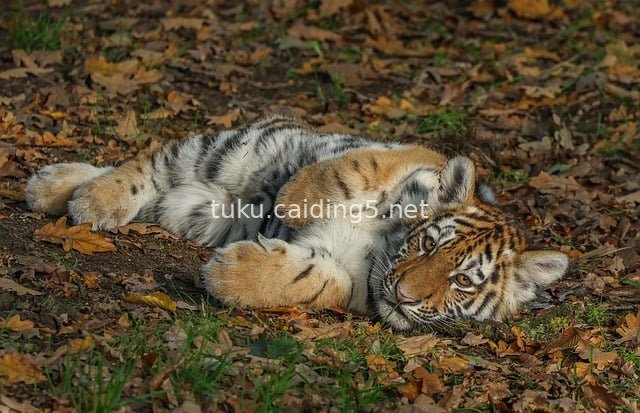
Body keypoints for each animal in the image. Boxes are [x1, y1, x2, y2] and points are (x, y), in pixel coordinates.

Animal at [25, 114, 568, 332]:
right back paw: (80, 195)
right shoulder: (409, 156)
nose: (404, 295)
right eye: (429, 245)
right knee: (147, 164)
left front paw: (227, 273)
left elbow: (312, 281)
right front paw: (292, 201)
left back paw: (61, 190)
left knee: (161, 186)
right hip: (233, 151)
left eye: (462, 282)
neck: (383, 249)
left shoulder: (351, 283)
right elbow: (346, 170)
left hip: (193, 205)